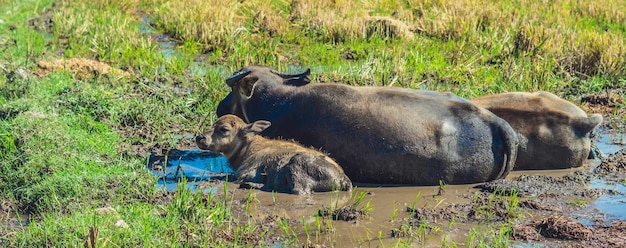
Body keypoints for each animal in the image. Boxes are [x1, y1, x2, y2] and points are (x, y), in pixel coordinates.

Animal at [195, 114, 352, 194]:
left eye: (224, 129)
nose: (200, 137)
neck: (248, 149)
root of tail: (343, 179)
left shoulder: (244, 173)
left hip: (297, 164)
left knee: (298, 191)